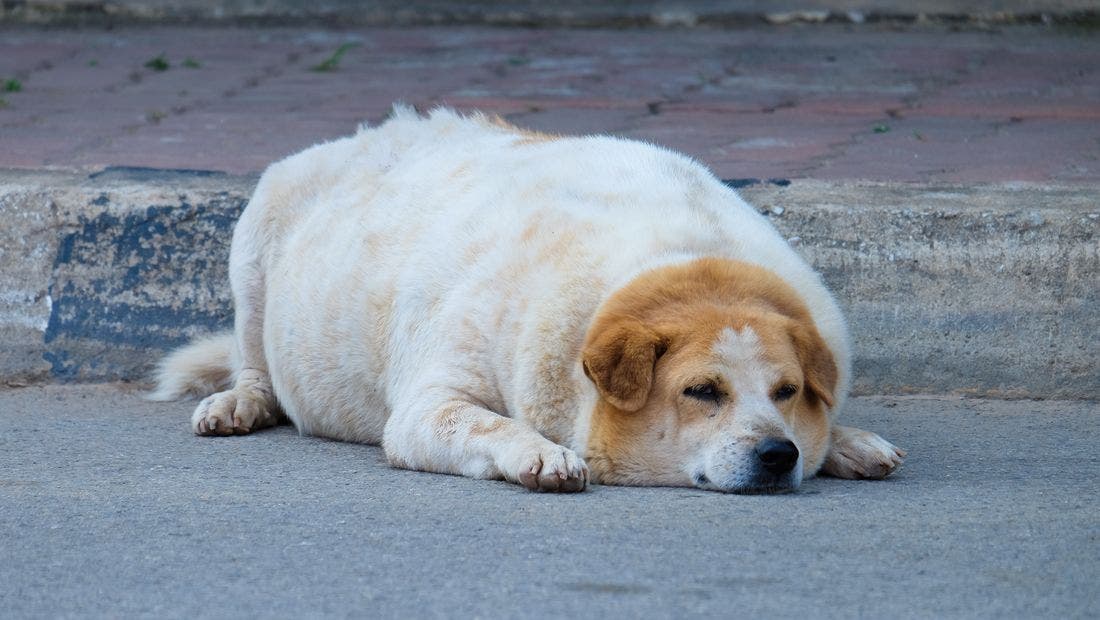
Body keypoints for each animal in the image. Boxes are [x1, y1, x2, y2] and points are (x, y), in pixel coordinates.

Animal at [151, 106, 904, 493]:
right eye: (701, 392)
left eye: (786, 392)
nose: (777, 455)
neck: (686, 263)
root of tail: (367, 134)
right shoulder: (431, 404)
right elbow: (486, 425)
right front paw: (542, 455)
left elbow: (830, 426)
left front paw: (845, 441)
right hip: (256, 234)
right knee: (253, 363)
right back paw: (239, 402)